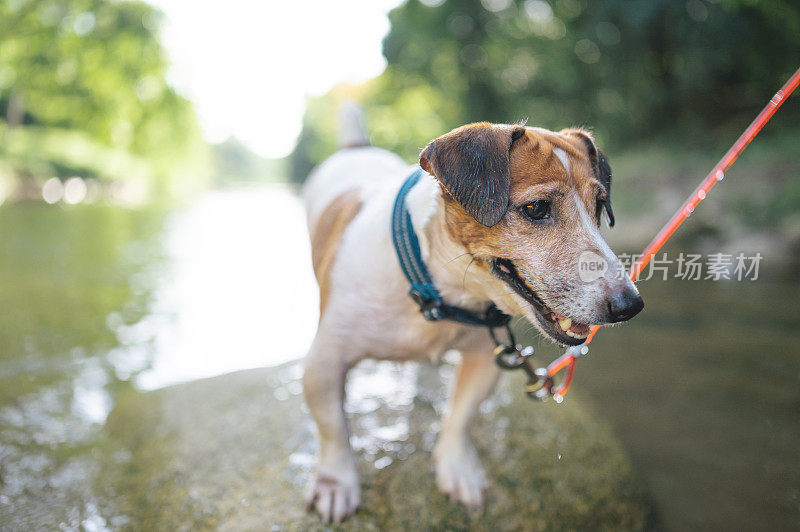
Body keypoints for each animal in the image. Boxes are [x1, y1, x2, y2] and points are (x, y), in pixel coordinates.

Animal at [300, 109, 644, 524]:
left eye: (599, 205)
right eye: (536, 209)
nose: (630, 304)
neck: (437, 290)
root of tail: (355, 147)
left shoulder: (484, 356)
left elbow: (460, 416)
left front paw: (458, 471)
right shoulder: (325, 361)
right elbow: (332, 426)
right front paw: (336, 482)